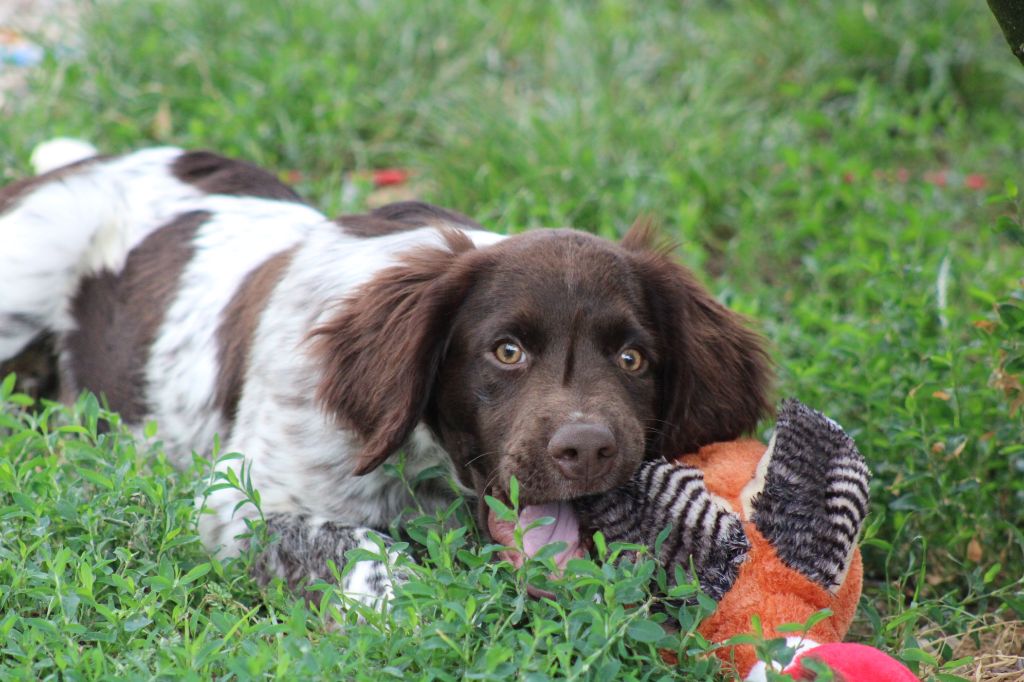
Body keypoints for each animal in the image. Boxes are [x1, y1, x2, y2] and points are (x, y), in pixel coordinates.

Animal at [0, 139, 770, 606]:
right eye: (506, 351)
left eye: (633, 359)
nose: (586, 450)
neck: (423, 463)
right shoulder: (235, 503)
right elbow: (362, 547)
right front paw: (402, 605)